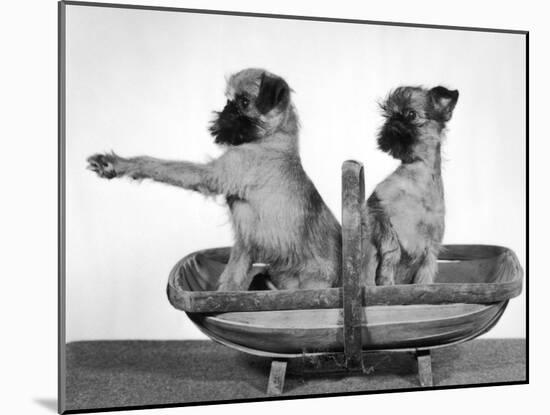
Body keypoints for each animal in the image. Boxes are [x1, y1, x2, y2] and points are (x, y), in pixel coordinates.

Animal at [88, 68, 342, 292]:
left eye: (244, 102)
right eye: (229, 100)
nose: (226, 109)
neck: (274, 140)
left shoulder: (212, 175)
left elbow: (157, 164)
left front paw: (116, 163)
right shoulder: (244, 245)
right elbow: (234, 275)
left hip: (312, 282)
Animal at [362, 85, 462, 286]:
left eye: (410, 114)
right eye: (387, 114)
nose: (393, 120)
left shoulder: (431, 248)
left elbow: (425, 275)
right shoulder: (377, 210)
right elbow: (392, 247)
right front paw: (386, 279)